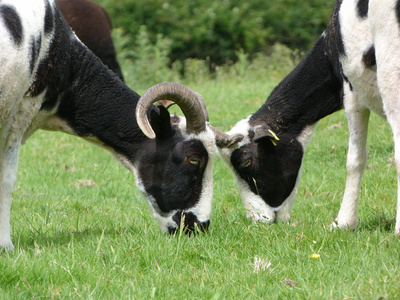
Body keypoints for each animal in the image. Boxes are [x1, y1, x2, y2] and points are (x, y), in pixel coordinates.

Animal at [214, 0, 400, 234]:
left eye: (246, 162)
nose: (257, 220)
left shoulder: (351, 92)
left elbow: (354, 160)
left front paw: (343, 223)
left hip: (391, 64)